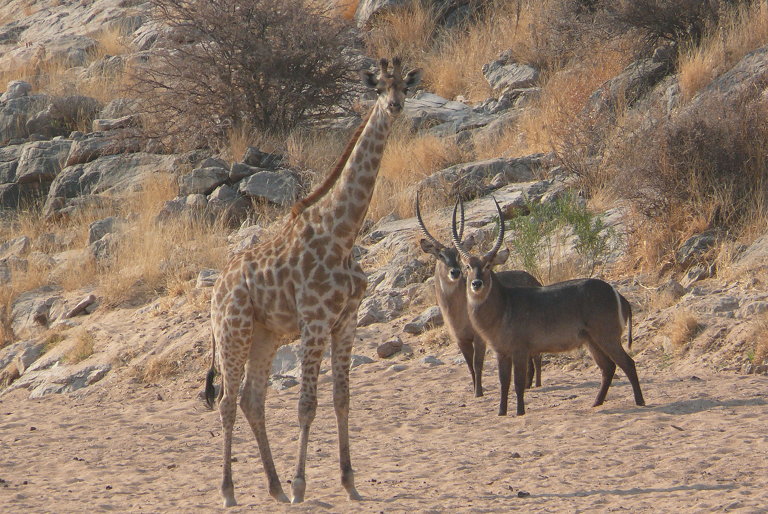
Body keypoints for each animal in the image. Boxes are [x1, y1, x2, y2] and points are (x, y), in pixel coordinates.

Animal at [206, 57, 420, 504]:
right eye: (378, 88)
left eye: (405, 87)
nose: (394, 106)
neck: (343, 234)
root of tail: (215, 291)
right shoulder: (315, 320)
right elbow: (307, 404)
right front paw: (301, 485)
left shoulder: (347, 321)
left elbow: (342, 399)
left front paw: (350, 483)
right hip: (233, 330)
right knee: (228, 403)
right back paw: (230, 492)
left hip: (264, 335)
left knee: (253, 400)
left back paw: (273, 488)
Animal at [416, 193, 544, 396]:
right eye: (440, 255)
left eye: (457, 256)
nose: (455, 272)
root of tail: (532, 278)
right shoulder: (460, 340)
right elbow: (469, 366)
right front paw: (475, 391)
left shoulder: (479, 338)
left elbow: (477, 364)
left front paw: (479, 392)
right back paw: (528, 384)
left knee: (537, 356)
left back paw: (536, 384)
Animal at [450, 198, 640, 414]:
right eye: (467, 266)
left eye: (488, 265)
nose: (476, 283)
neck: (504, 306)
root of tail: (618, 295)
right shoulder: (501, 352)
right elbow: (504, 383)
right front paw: (501, 413)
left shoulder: (520, 350)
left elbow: (518, 383)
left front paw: (520, 412)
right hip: (592, 340)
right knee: (608, 367)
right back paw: (596, 403)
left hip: (607, 336)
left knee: (628, 363)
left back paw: (639, 402)